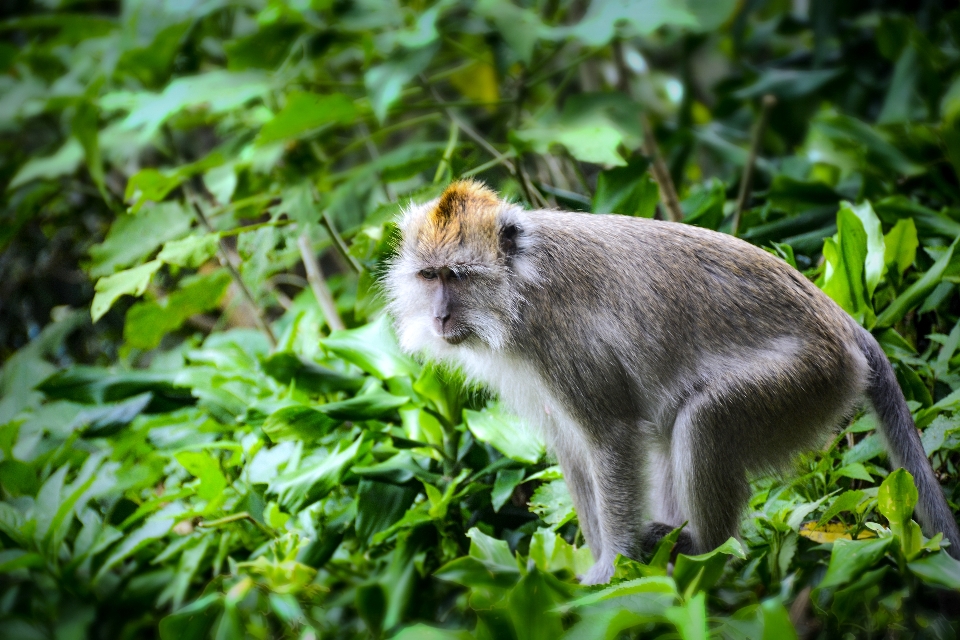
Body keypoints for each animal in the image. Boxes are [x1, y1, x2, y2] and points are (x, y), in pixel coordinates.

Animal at [382, 180, 960, 584]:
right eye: (428, 276)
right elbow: (572, 450)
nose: (438, 316)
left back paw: (707, 548)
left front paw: (611, 569)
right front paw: (597, 563)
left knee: (704, 419)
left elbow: (610, 436)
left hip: (810, 380)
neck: (521, 288)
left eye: (457, 276)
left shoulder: (562, 342)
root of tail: (844, 322)